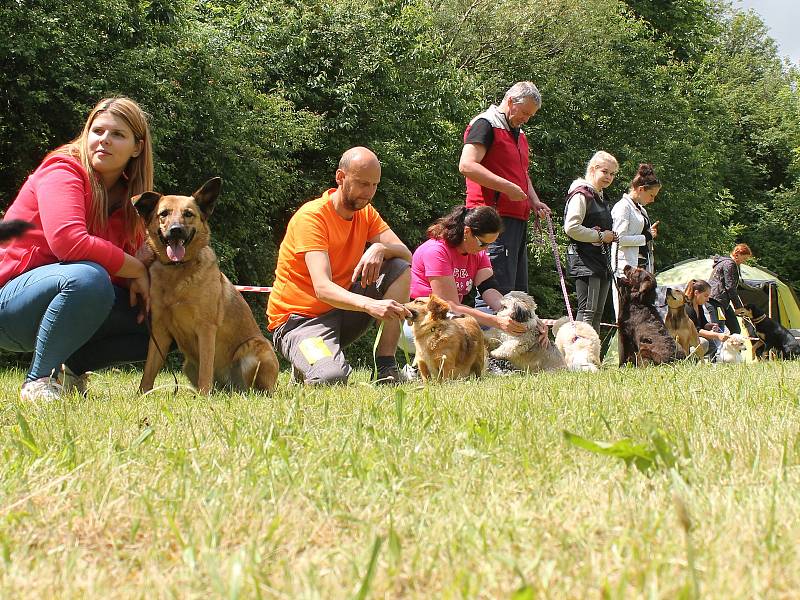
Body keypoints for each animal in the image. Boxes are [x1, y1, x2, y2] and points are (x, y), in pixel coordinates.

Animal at [133, 178, 280, 394]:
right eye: (164, 214)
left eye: (188, 214)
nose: (176, 230)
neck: (177, 271)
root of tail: (229, 386)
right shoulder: (159, 331)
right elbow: (149, 370)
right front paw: (142, 394)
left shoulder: (206, 328)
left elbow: (206, 368)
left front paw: (203, 396)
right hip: (188, 365)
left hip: (254, 350)